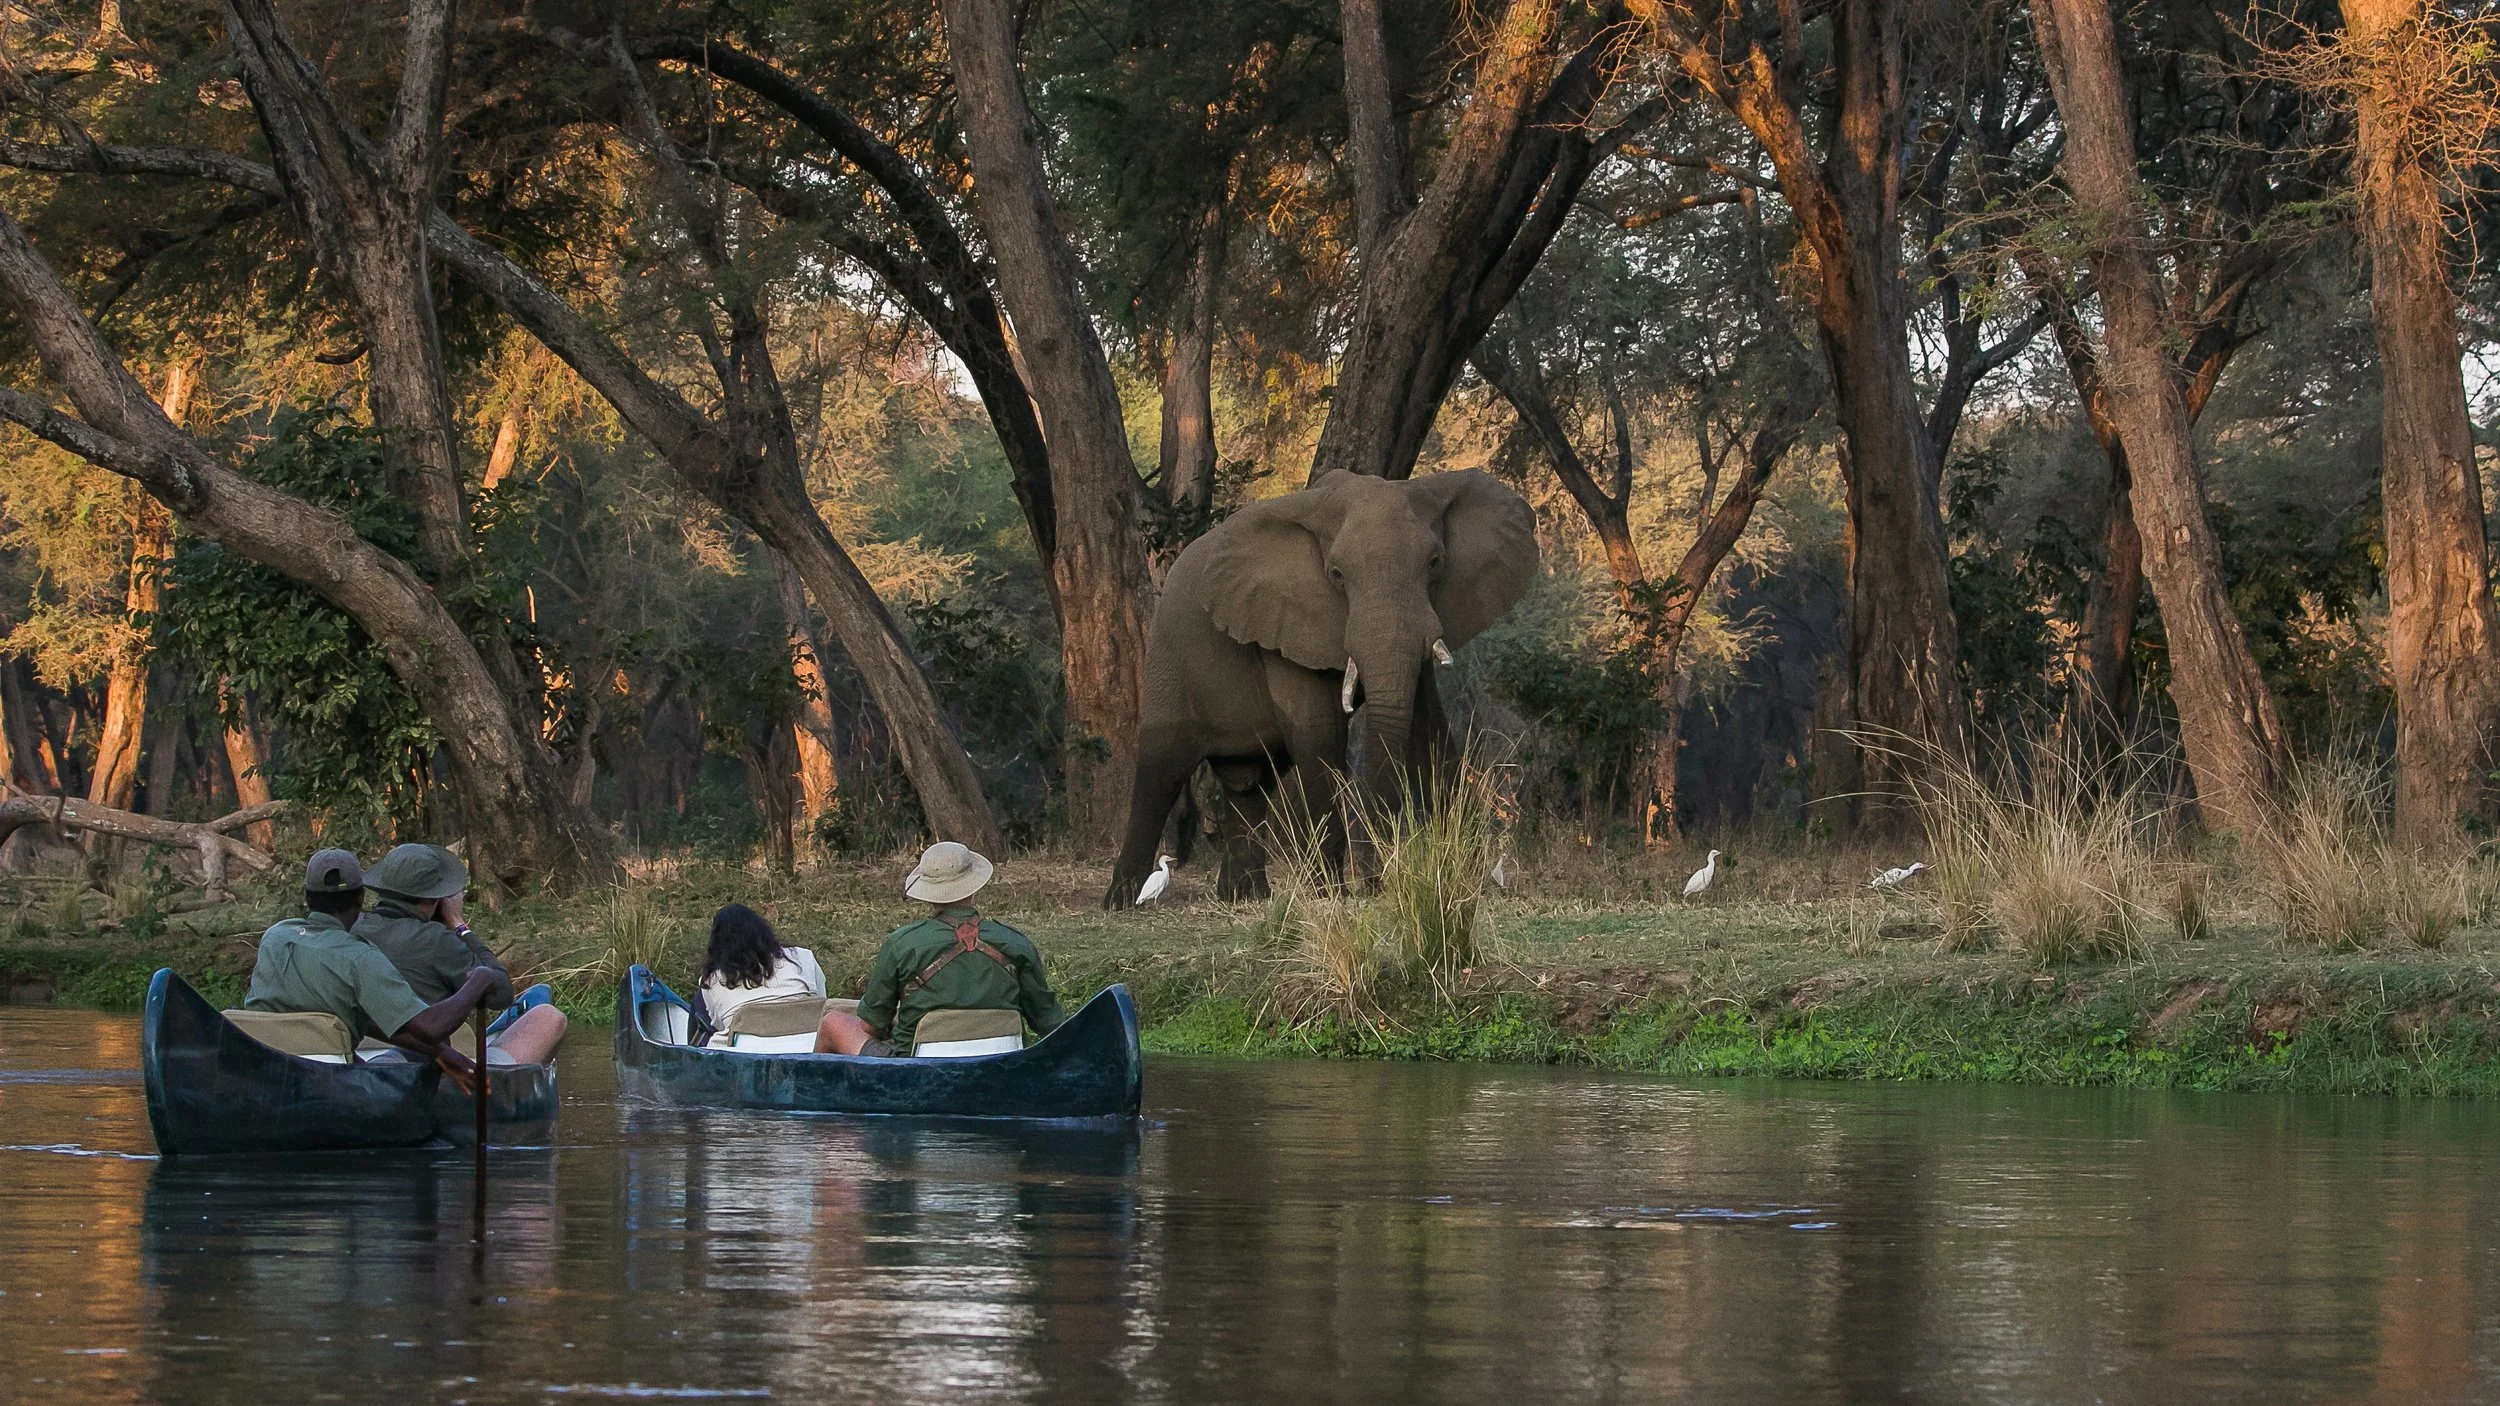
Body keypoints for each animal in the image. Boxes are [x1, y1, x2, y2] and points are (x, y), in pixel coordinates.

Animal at [1104, 468, 1538, 908]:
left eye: (1435, 564)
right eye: (1336, 575)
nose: (1375, 885)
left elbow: (1429, 730)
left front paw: (1459, 878)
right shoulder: (1284, 619)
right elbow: (1321, 734)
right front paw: (1331, 895)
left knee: (1250, 784)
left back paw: (1245, 898)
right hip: (1168, 656)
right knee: (1161, 770)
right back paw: (1123, 901)